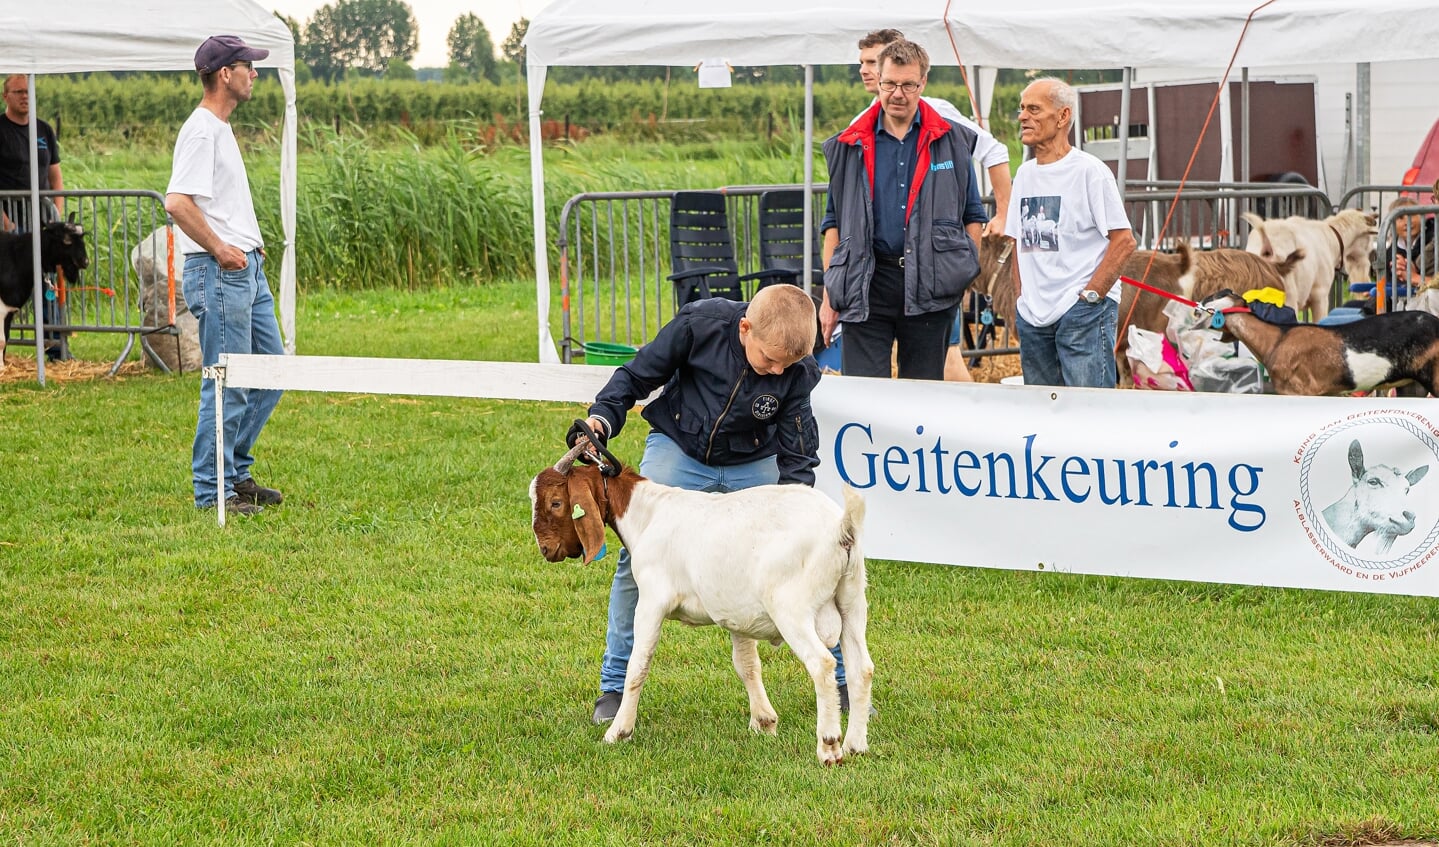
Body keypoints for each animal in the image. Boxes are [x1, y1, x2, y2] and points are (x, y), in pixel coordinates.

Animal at [526, 442, 869, 765]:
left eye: (556, 502)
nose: (545, 549)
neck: (648, 514)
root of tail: (840, 528)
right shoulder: (737, 611)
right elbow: (746, 664)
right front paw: (764, 722)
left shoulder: (651, 601)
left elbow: (638, 664)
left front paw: (619, 731)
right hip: (852, 601)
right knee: (861, 668)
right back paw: (856, 745)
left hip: (791, 609)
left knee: (822, 664)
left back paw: (829, 746)